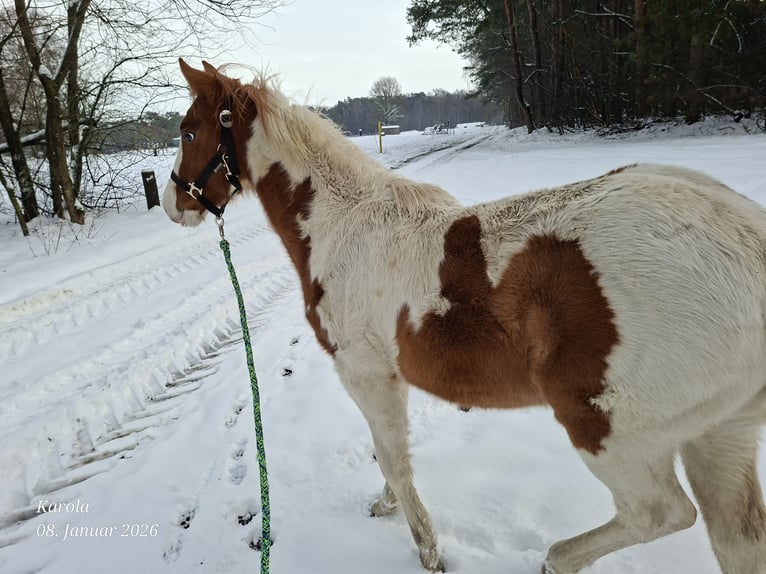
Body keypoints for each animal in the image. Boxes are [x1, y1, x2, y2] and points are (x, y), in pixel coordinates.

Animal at [163, 60, 766, 574]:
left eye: (189, 132)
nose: (172, 204)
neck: (341, 225)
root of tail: (746, 241)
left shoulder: (365, 375)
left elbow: (393, 457)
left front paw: (427, 548)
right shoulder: (390, 377)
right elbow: (389, 453)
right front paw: (387, 505)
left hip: (609, 428)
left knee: (658, 512)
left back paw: (558, 559)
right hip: (719, 433)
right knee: (737, 537)